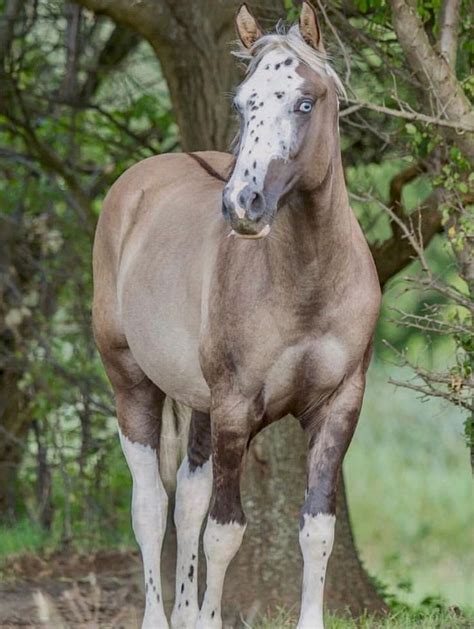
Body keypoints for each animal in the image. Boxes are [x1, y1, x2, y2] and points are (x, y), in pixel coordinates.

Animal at [91, 2, 382, 624]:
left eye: (305, 101)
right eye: (242, 102)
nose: (242, 205)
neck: (307, 282)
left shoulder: (339, 404)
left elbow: (316, 529)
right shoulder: (234, 406)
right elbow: (224, 532)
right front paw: (208, 617)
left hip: (197, 405)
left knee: (187, 499)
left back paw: (181, 612)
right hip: (132, 383)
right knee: (151, 506)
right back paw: (161, 615)